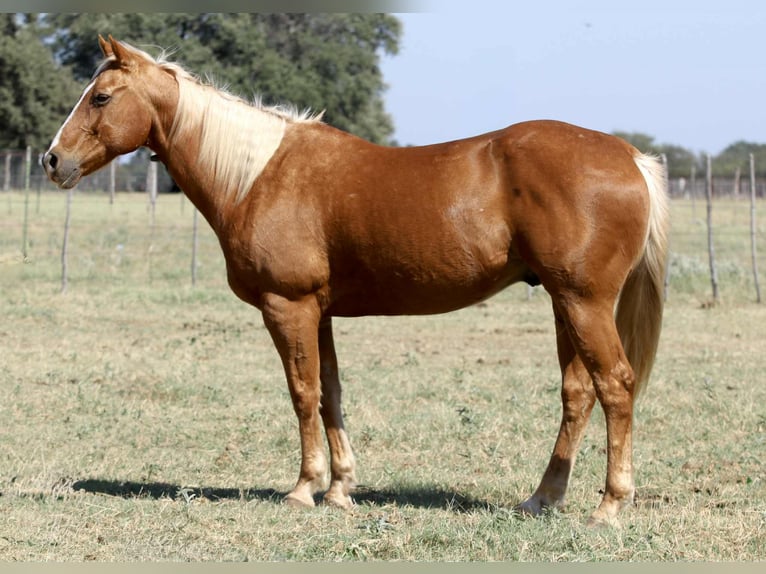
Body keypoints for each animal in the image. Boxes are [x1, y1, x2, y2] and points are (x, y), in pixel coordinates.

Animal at [42, 35, 669, 527]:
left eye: (101, 97)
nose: (52, 160)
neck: (258, 174)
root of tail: (630, 157)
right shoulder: (318, 312)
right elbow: (331, 393)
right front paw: (340, 489)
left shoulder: (287, 305)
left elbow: (302, 394)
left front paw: (303, 489)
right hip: (565, 304)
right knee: (578, 393)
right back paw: (542, 499)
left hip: (585, 303)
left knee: (615, 386)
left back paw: (609, 505)